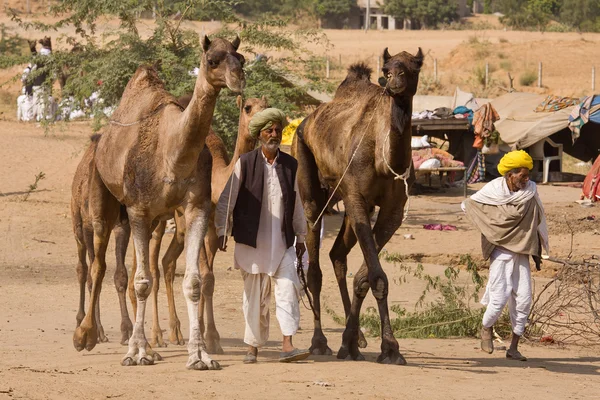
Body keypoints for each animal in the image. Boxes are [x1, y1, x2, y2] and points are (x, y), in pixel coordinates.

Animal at [71, 34, 245, 368]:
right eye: (212, 60)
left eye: (240, 58)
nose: (238, 78)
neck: (172, 154)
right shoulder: (139, 209)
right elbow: (141, 281)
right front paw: (135, 353)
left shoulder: (196, 208)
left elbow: (192, 282)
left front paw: (200, 355)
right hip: (101, 206)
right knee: (97, 264)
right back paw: (86, 334)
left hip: (148, 219)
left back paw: (149, 343)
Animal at [130, 95, 268, 352]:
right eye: (248, 108)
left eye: (266, 105)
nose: (265, 122)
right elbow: (205, 276)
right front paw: (211, 338)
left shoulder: (214, 230)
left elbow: (207, 279)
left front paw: (205, 334)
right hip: (158, 217)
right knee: (151, 266)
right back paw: (155, 336)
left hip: (177, 225)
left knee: (167, 262)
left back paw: (175, 332)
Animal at [290, 47, 422, 366]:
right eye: (387, 68)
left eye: (415, 66)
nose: (394, 82)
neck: (384, 158)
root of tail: (307, 119)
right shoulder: (357, 196)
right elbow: (377, 276)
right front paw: (390, 348)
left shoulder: (392, 211)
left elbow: (366, 276)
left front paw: (356, 342)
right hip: (308, 175)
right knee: (314, 267)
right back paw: (319, 343)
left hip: (348, 205)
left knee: (337, 253)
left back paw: (355, 338)